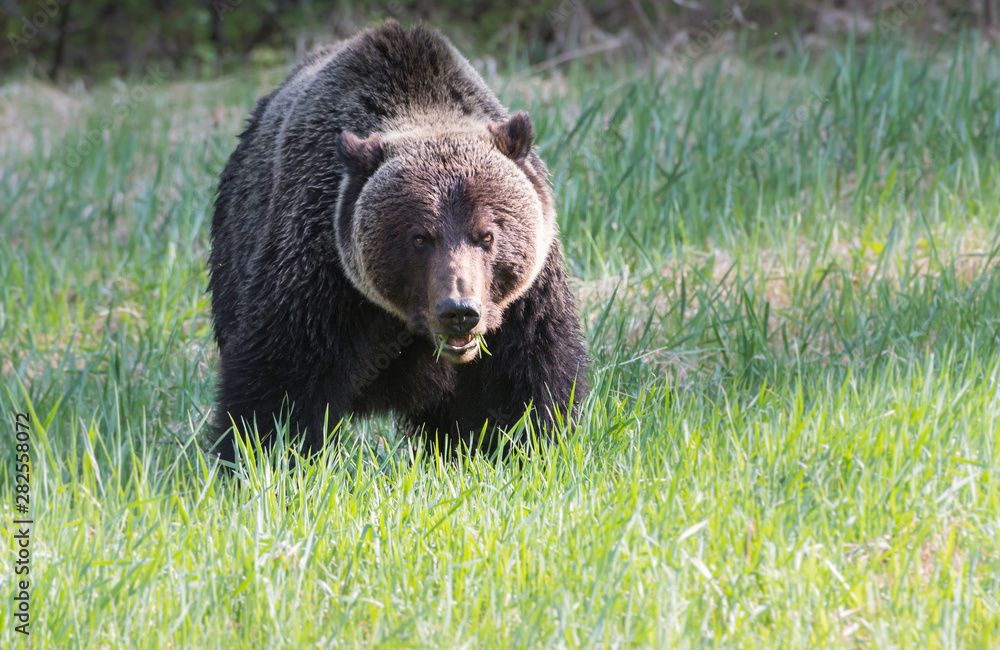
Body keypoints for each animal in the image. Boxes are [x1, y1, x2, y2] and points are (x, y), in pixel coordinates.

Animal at [208, 20, 589, 465]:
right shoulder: (320, 276)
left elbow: (527, 386)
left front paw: (520, 450)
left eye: (487, 235)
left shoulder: (524, 304)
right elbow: (278, 383)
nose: (459, 311)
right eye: (420, 237)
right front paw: (262, 457)